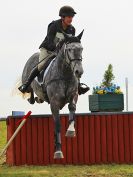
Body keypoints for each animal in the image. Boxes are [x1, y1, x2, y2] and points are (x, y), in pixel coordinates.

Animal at [19, 30, 83, 159]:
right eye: (69, 49)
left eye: (81, 49)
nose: (79, 71)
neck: (65, 74)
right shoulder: (54, 103)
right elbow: (57, 124)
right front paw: (58, 151)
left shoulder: (73, 95)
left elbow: (72, 107)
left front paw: (71, 130)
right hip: (29, 79)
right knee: (30, 88)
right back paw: (32, 97)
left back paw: (38, 99)